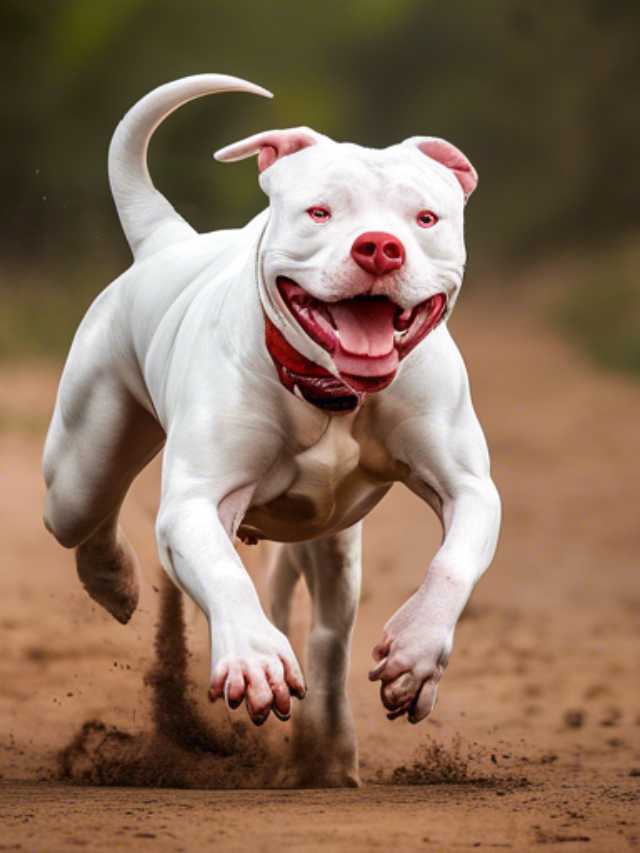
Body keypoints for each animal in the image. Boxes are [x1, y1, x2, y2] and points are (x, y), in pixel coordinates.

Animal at [43, 75, 500, 784]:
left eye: (425, 219)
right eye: (320, 213)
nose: (379, 245)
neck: (333, 395)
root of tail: (166, 241)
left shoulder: (469, 486)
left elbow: (453, 562)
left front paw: (417, 654)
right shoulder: (197, 502)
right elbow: (225, 575)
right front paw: (255, 661)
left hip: (333, 541)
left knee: (330, 635)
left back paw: (330, 753)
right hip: (81, 464)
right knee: (88, 516)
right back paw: (114, 578)